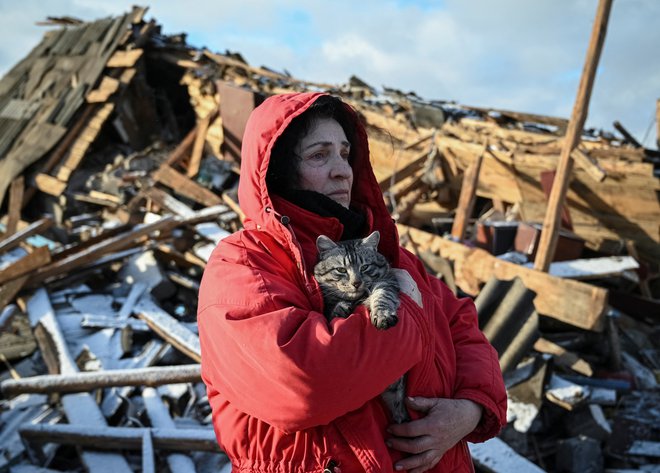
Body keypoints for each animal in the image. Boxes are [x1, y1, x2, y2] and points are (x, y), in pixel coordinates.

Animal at [314, 230, 408, 422]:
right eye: (341, 270)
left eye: (365, 267)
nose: (356, 283)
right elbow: (333, 311)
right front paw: (341, 308)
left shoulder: (387, 282)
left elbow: (382, 296)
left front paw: (382, 315)